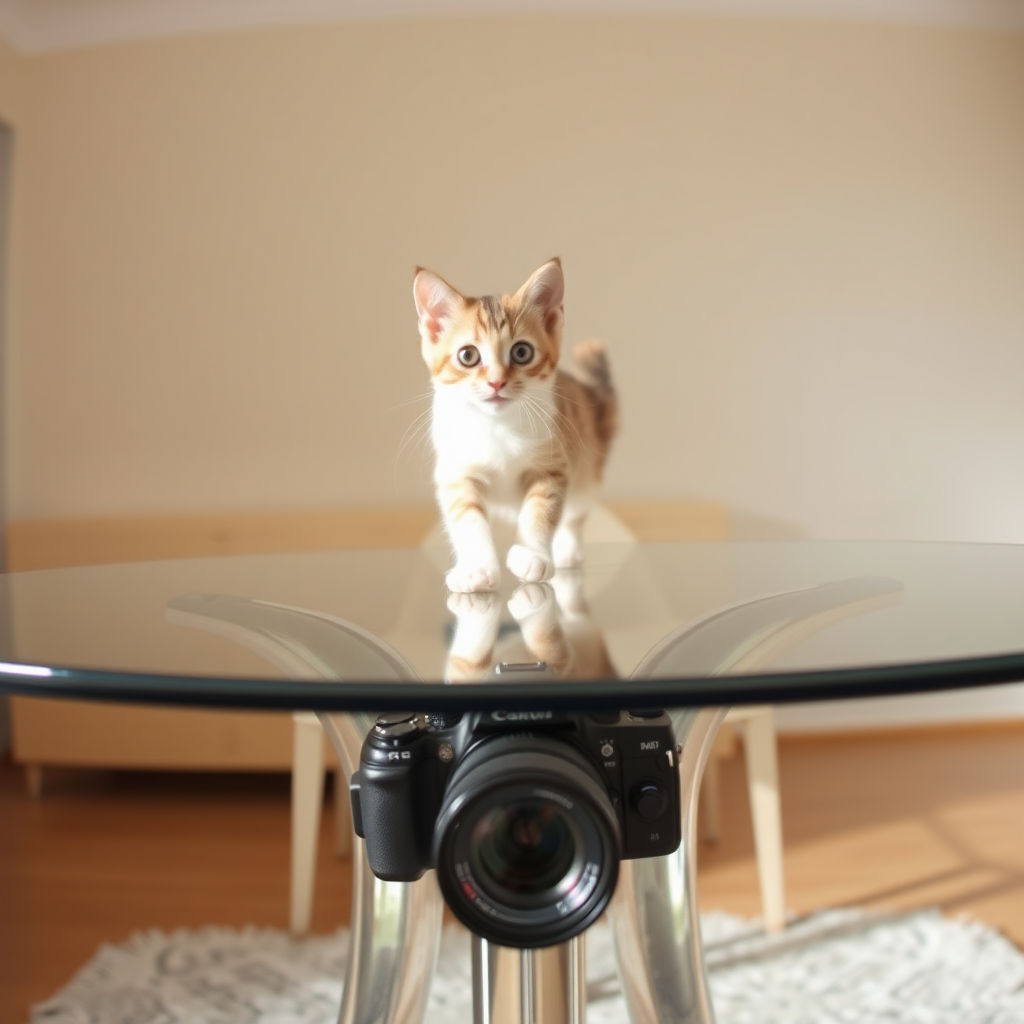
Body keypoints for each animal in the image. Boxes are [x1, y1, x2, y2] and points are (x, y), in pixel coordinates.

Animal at [409, 256, 614, 593]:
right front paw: (477, 568)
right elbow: (467, 518)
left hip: (587, 473)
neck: (496, 427)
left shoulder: (553, 464)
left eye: (521, 352)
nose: (496, 382)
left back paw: (567, 551)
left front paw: (532, 556)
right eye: (468, 355)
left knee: (574, 514)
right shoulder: (456, 472)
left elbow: (541, 510)